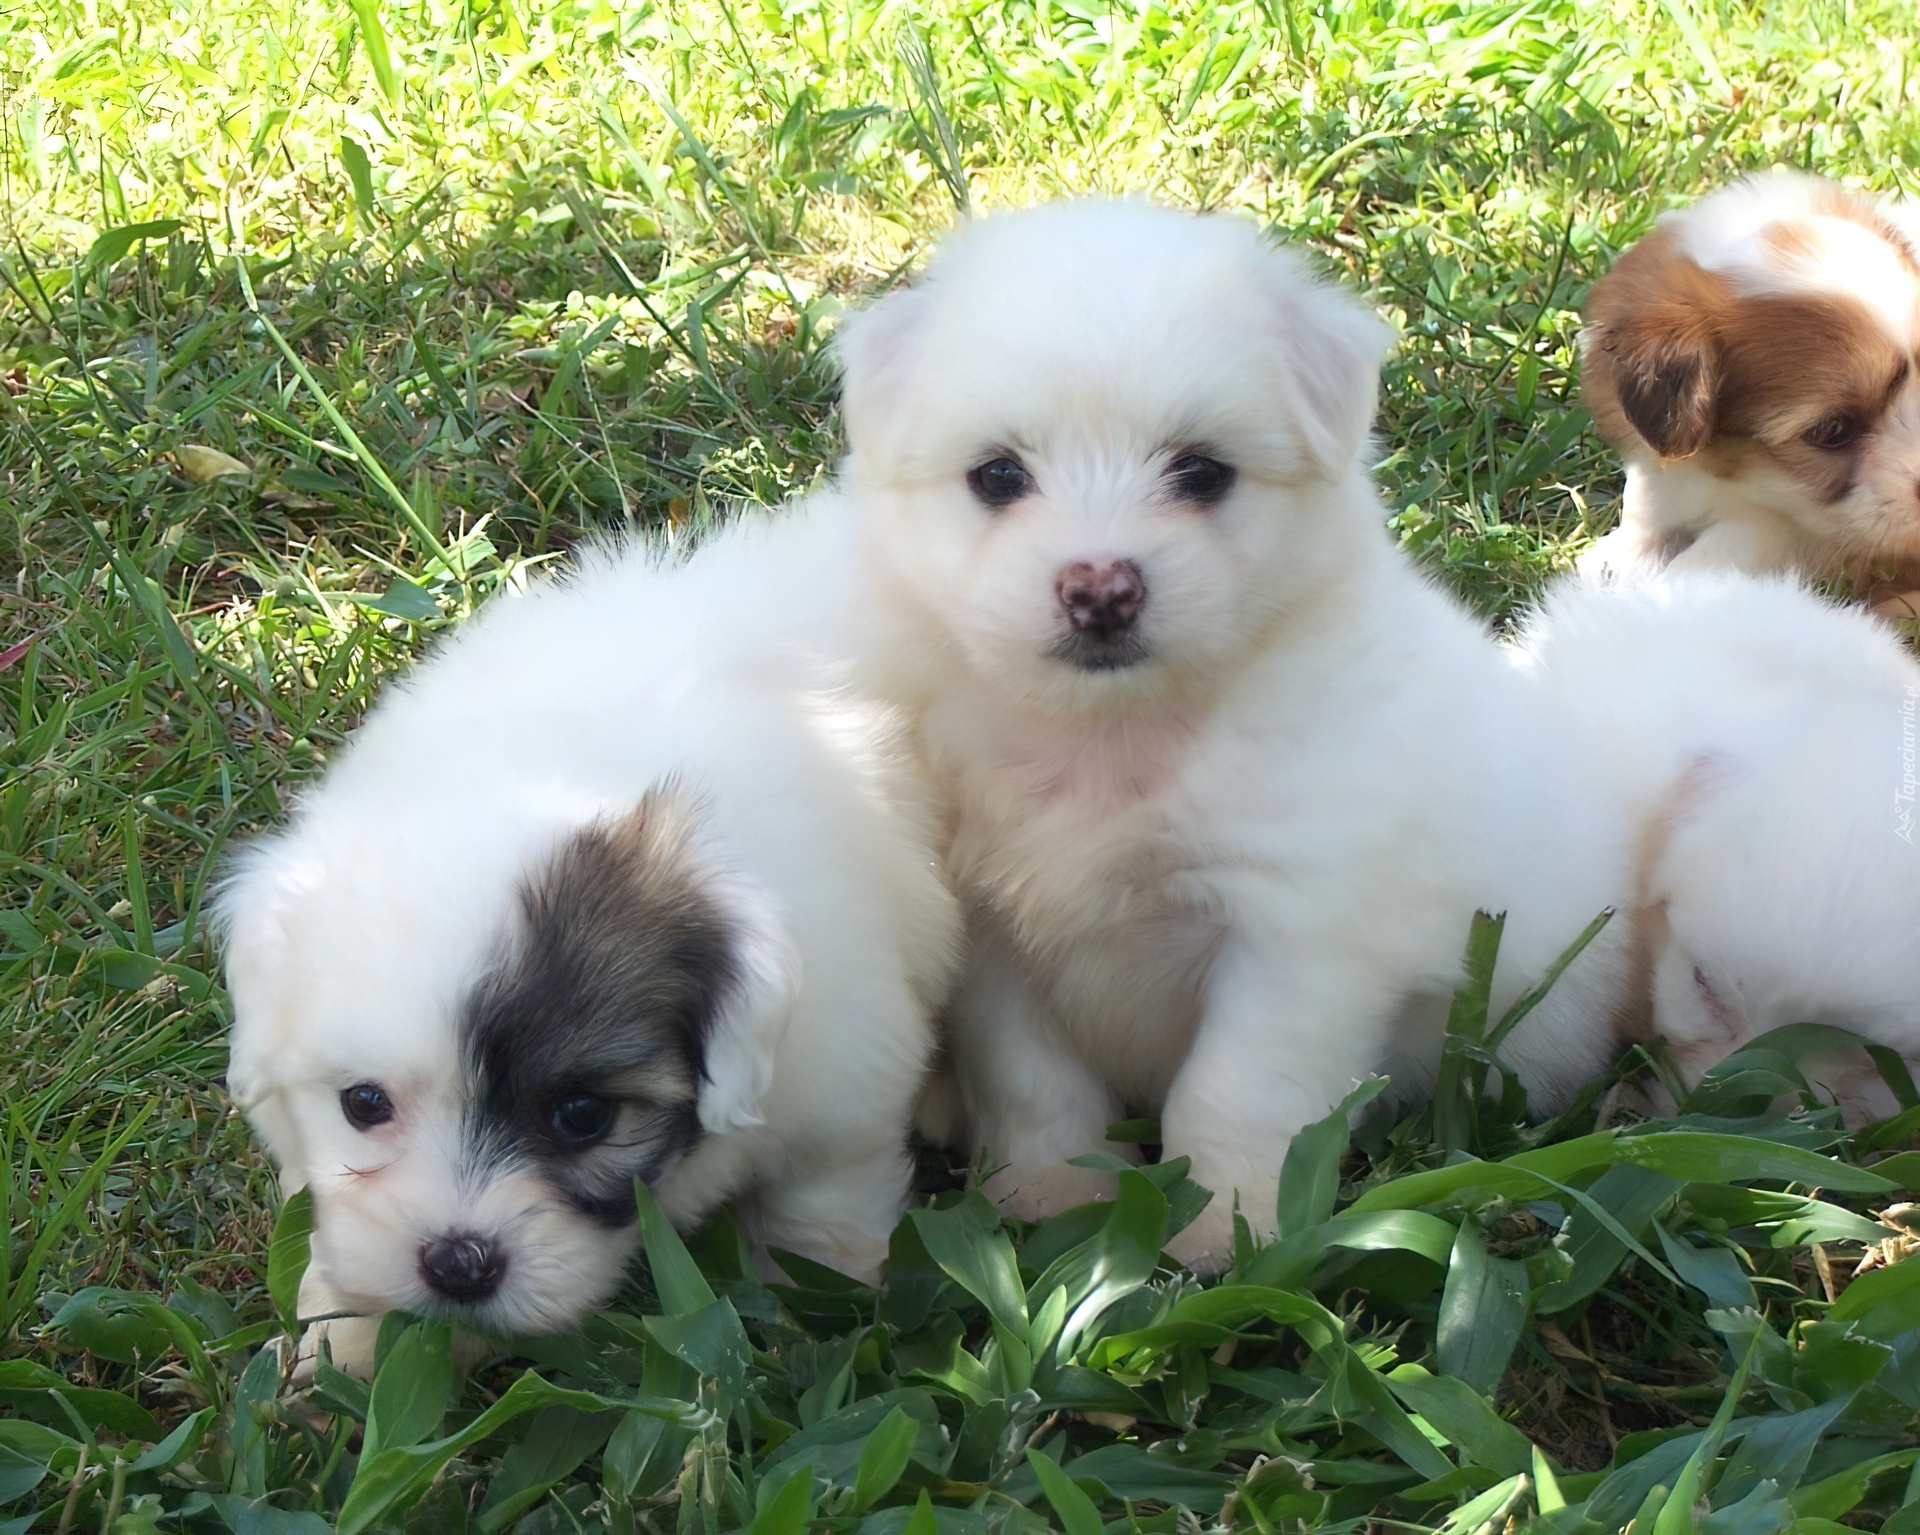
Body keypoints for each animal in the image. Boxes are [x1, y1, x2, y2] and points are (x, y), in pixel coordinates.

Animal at [217, 503, 960, 1367]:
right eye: (363, 1104)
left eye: (582, 1115)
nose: (459, 1262)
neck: (545, 770)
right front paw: (354, 1341)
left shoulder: (842, 1091)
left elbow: (820, 1206)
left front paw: (811, 1315)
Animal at [837, 197, 1635, 1267]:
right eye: (998, 476)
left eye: (1201, 472)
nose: (1100, 589)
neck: (1117, 736)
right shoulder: (995, 938)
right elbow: (1034, 1084)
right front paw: (1047, 1203)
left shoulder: (1294, 934)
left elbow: (1236, 1091)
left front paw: (1227, 1235)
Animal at [1574, 165, 1920, 603]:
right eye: (1832, 430)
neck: (1736, 483)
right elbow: (1647, 501)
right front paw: (1625, 559)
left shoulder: (1801, 531)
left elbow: (1741, 541)